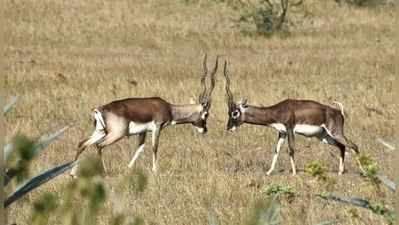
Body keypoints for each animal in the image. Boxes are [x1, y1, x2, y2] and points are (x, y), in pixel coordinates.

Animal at [69, 55, 219, 178]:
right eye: (206, 114)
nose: (204, 130)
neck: (169, 108)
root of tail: (99, 109)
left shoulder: (143, 132)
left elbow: (140, 148)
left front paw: (128, 168)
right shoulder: (157, 128)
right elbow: (154, 147)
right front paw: (155, 170)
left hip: (100, 131)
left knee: (82, 143)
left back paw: (72, 174)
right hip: (116, 134)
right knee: (99, 145)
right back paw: (103, 172)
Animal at [223, 61, 360, 176]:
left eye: (235, 113)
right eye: (228, 112)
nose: (228, 128)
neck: (278, 110)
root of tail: (339, 112)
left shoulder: (290, 129)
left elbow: (291, 150)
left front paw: (294, 173)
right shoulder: (282, 132)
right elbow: (276, 150)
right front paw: (269, 172)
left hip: (335, 133)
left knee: (354, 146)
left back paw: (362, 171)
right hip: (324, 136)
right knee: (342, 147)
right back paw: (340, 172)